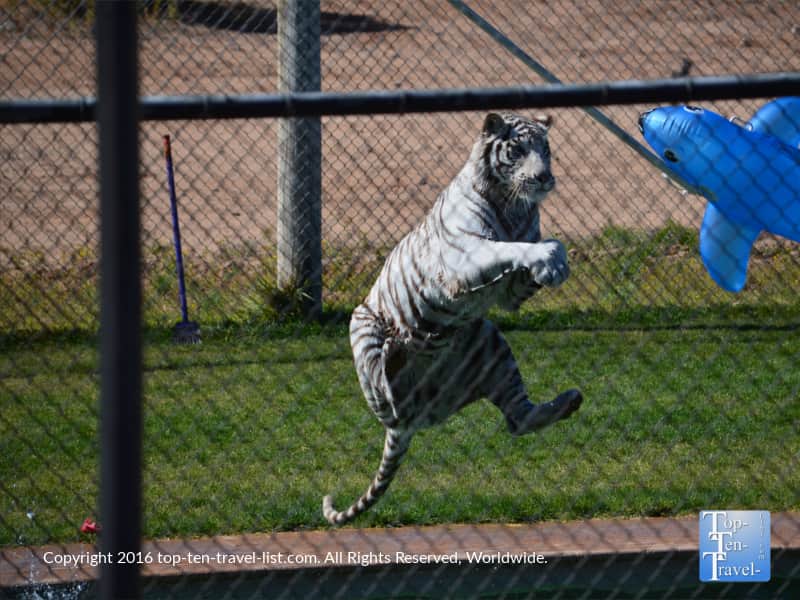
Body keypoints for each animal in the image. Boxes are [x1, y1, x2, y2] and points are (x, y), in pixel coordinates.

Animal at [323, 112, 583, 526]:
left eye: (546, 149)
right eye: (518, 149)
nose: (544, 177)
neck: (515, 206)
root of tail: (412, 419)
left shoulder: (508, 296)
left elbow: (544, 247)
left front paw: (554, 262)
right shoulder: (464, 256)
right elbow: (508, 248)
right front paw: (546, 260)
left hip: (490, 346)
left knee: (518, 420)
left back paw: (569, 401)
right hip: (363, 325)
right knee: (385, 400)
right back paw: (395, 356)